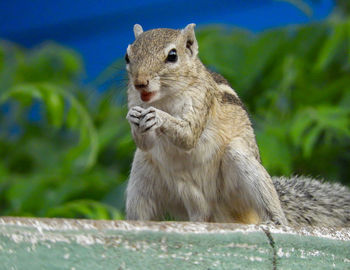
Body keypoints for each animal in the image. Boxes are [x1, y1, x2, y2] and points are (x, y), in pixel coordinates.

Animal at [124, 23, 348, 227]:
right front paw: (134, 118)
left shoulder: (201, 100)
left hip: (239, 162)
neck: (163, 98)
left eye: (172, 56)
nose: (140, 82)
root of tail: (213, 215)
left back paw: (275, 221)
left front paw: (158, 116)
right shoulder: (135, 101)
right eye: (127, 57)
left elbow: (188, 135)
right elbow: (145, 143)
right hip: (145, 174)